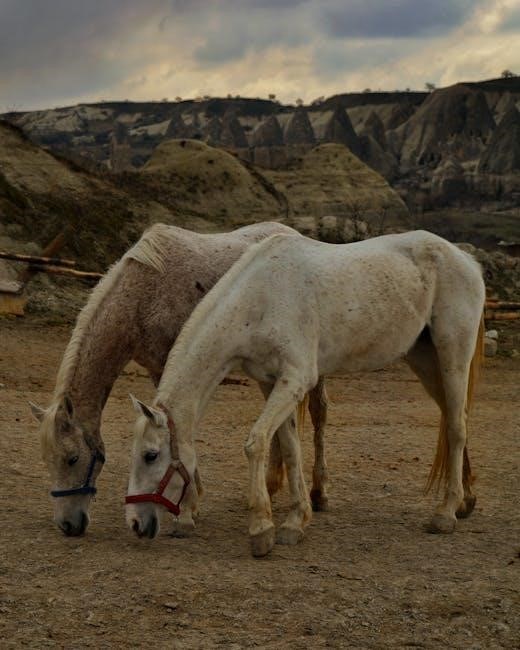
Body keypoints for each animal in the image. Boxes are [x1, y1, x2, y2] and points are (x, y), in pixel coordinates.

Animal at [30, 222, 329, 536]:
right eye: (47, 460)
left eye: (72, 458)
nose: (67, 525)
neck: (141, 294)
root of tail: (293, 233)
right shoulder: (156, 368)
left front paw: (186, 509)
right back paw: (270, 486)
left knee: (319, 414)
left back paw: (318, 493)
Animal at [126, 230, 485, 557]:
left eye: (150, 455)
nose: (134, 524)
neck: (261, 298)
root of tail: (467, 259)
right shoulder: (271, 382)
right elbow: (289, 447)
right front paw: (295, 522)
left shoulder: (295, 378)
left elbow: (256, 442)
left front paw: (262, 529)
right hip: (424, 359)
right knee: (453, 418)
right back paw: (466, 501)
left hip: (452, 354)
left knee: (457, 427)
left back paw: (445, 514)